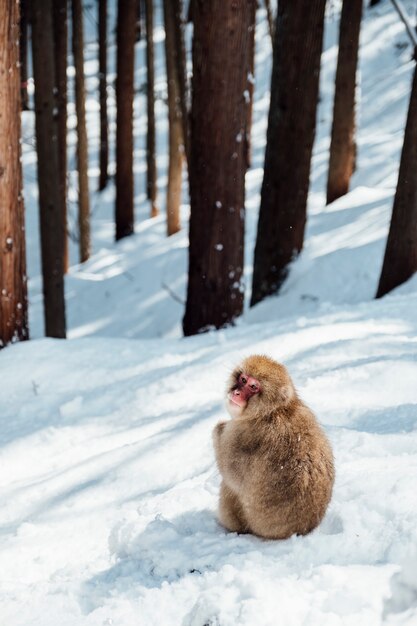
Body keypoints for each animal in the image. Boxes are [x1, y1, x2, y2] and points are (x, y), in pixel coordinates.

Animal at [213, 354, 334, 540]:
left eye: (253, 386)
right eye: (243, 379)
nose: (236, 392)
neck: (274, 410)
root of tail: (300, 531)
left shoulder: (240, 434)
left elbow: (231, 475)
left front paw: (218, 428)